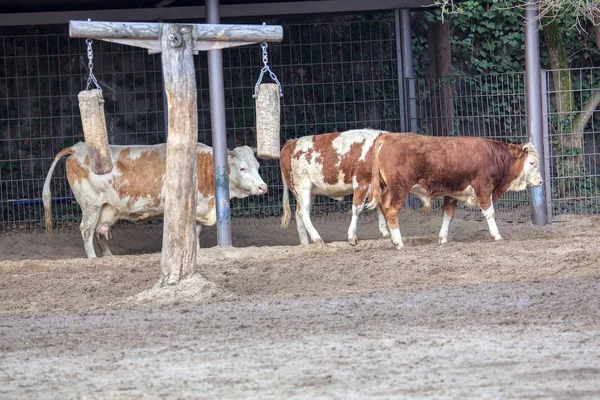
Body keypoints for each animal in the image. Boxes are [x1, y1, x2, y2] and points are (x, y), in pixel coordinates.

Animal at [41, 142, 266, 258]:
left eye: (257, 166)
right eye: (242, 168)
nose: (263, 187)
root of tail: (77, 147)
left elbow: (195, 233)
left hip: (106, 209)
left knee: (99, 231)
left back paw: (109, 256)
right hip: (91, 205)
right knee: (86, 230)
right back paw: (93, 258)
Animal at [366, 133, 544, 248]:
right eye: (532, 163)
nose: (541, 181)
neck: (493, 157)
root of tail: (387, 137)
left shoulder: (452, 194)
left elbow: (448, 215)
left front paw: (442, 238)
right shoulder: (484, 188)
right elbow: (490, 213)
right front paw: (497, 235)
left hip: (386, 188)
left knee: (382, 207)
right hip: (399, 188)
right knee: (391, 211)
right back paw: (398, 242)